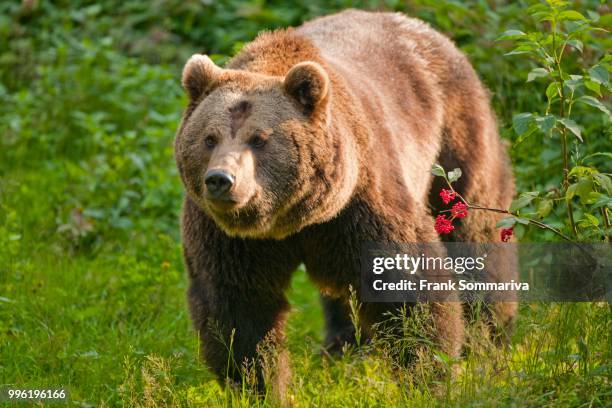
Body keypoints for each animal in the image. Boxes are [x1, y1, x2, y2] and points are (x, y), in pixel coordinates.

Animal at [173, 7, 516, 396]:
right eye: (209, 138)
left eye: (258, 139)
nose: (220, 180)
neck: (294, 218)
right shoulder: (231, 237)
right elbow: (239, 305)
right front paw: (257, 383)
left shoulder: (361, 203)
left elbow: (405, 285)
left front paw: (430, 372)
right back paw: (343, 347)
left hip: (455, 143)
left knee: (476, 230)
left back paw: (490, 334)